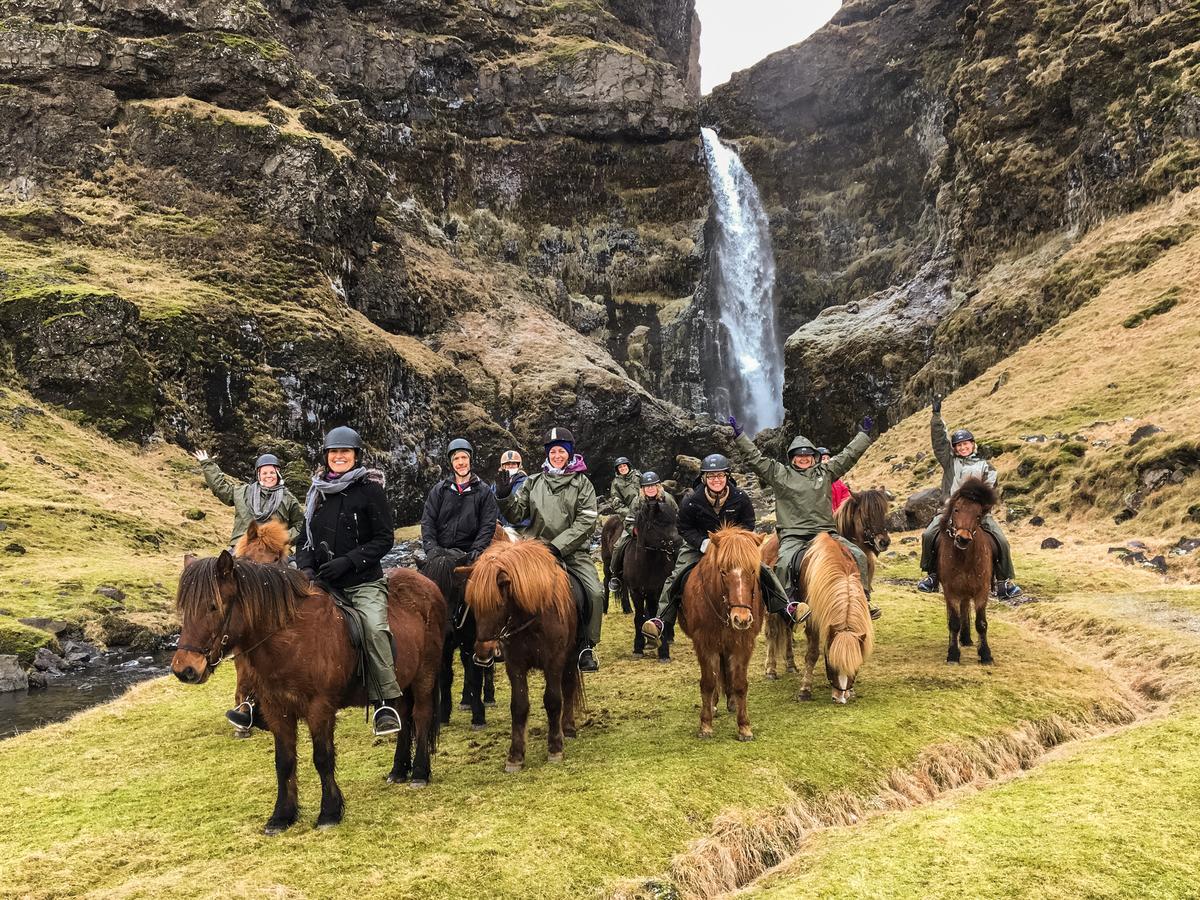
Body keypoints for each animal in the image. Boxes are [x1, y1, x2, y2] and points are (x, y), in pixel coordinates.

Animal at [170, 554, 446, 835]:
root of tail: (427, 584)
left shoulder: (319, 709)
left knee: (421, 717)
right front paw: (281, 816)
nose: (184, 669)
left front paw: (329, 813)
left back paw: (420, 773)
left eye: (213, 606)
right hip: (401, 681)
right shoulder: (277, 710)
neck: (290, 639)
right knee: (403, 720)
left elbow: (322, 758)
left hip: (424, 675)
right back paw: (399, 770)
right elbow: (284, 762)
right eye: (184, 609)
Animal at [458, 535, 580, 777]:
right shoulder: (515, 665)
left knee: (569, 687)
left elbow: (553, 700)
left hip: (571, 657)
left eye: (499, 603)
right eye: (473, 604)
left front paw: (555, 748)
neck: (531, 617)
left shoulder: (554, 661)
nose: (483, 652)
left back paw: (568, 727)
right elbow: (519, 706)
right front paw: (515, 756)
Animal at [681, 525, 763, 744]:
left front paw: (744, 727)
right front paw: (706, 725)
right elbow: (708, 683)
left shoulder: (743, 643)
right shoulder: (704, 643)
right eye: (723, 571)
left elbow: (740, 684)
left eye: (753, 570)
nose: (741, 619)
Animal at [768, 494, 892, 676]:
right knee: (772, 631)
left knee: (786, 629)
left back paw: (790, 663)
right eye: (866, 514)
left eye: (884, 511)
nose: (884, 542)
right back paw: (771, 668)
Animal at [940, 475, 998, 667]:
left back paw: (966, 639)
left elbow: (981, 623)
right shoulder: (950, 591)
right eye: (956, 509)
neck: (965, 559)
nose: (963, 539)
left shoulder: (982, 591)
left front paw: (986, 654)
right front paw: (952, 654)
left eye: (978, 515)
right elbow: (954, 622)